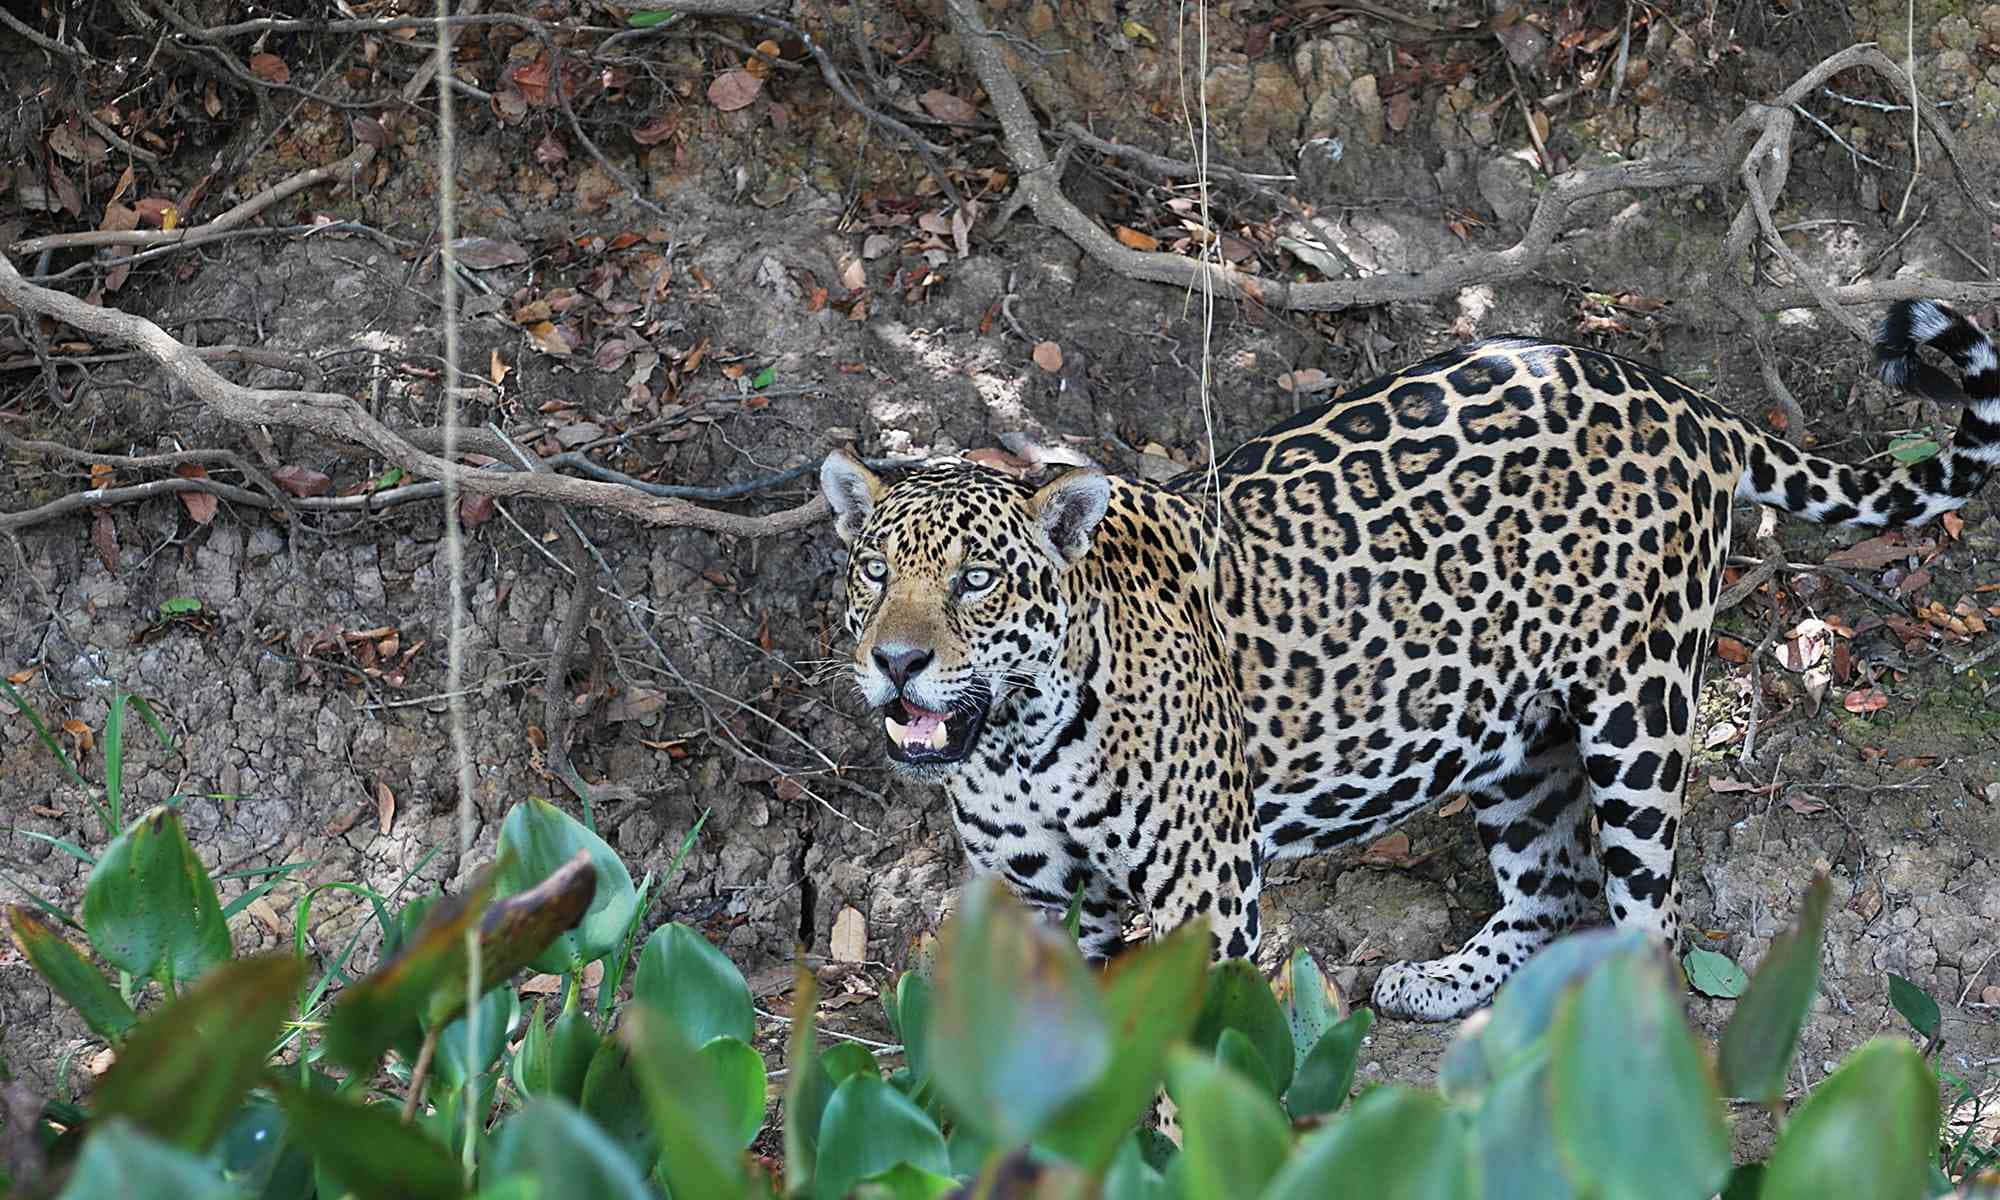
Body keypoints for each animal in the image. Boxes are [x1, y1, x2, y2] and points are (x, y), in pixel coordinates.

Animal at [819, 299, 1999, 1020]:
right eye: (873, 570)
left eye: (978, 579)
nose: (897, 662)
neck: (1017, 747)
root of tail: (1679, 397)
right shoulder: (1031, 908)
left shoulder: (1209, 897)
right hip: (1514, 739)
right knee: (1552, 886)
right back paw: (1440, 986)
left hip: (1640, 714)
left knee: (1645, 914)